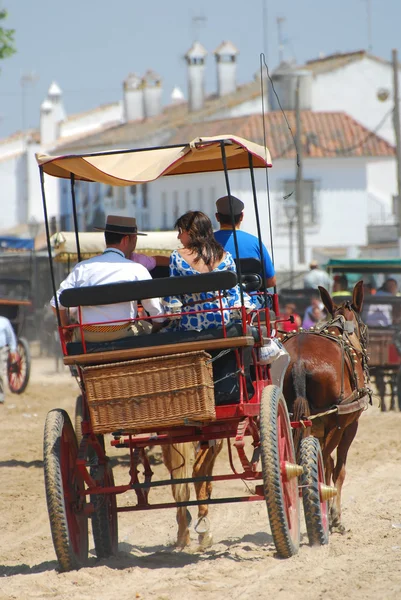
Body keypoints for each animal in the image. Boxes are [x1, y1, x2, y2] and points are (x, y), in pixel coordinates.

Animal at [282, 282, 368, 536]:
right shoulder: (349, 425)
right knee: (322, 464)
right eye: (364, 327)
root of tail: (299, 361)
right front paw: (335, 516)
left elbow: (328, 464)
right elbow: (338, 469)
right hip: (337, 423)